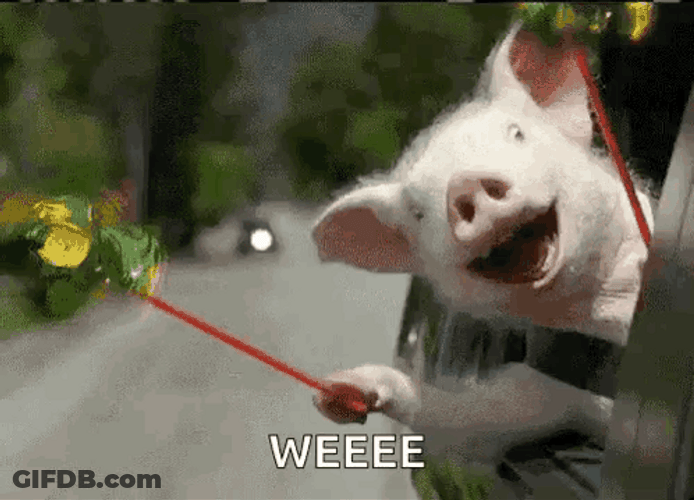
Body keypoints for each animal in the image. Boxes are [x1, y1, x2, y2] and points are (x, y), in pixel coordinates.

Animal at [311, 20, 655, 481]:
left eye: (517, 133)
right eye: (418, 212)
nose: (465, 184)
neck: (610, 308)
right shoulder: (544, 392)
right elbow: (473, 416)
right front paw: (340, 391)